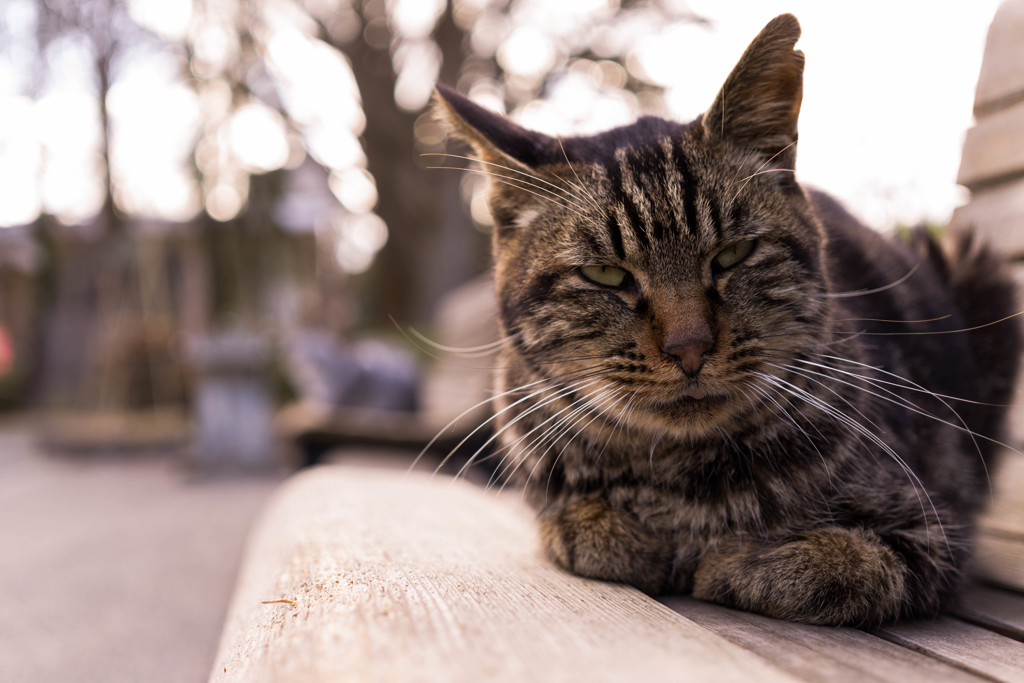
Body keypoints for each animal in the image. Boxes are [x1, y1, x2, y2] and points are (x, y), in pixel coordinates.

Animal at [428, 13, 1019, 626]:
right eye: (606, 274)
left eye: (733, 255)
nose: (689, 348)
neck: (681, 481)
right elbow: (577, 527)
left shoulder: (933, 534)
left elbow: (832, 564)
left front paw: (729, 560)